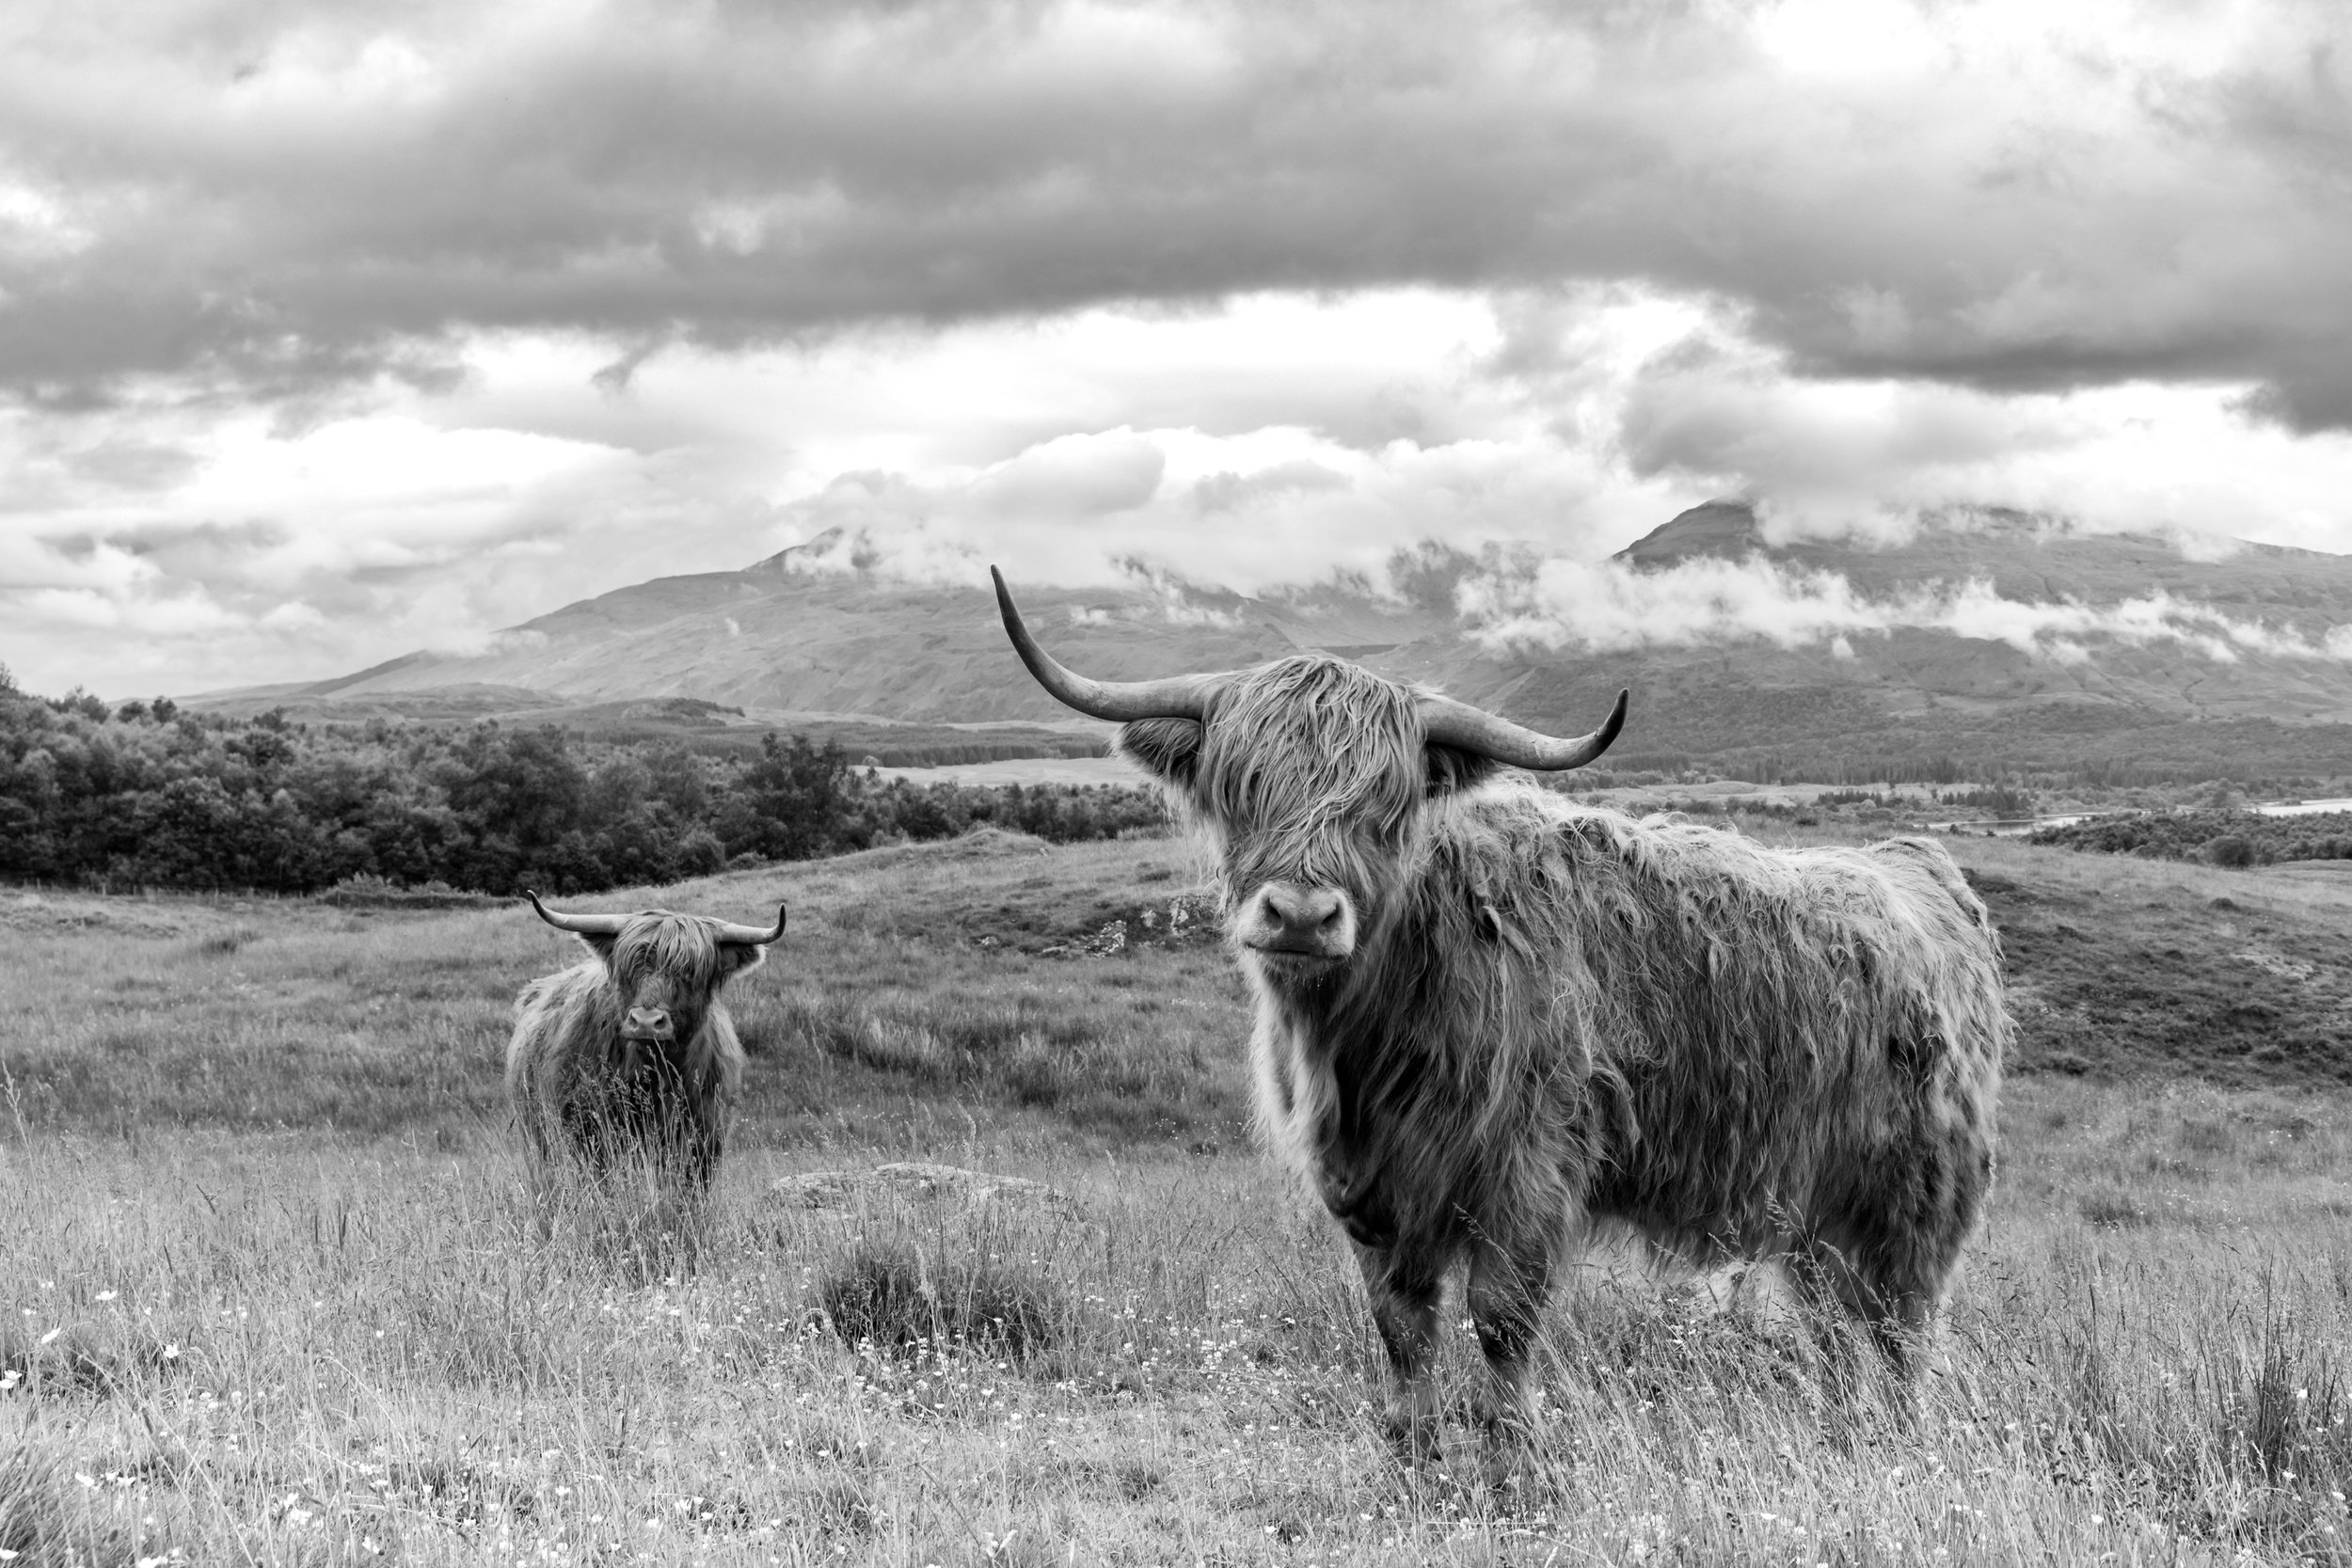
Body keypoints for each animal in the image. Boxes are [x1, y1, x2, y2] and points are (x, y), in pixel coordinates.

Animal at [507, 891, 786, 1195]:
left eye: (691, 972)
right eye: (627, 969)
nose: (646, 1022)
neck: (656, 1076)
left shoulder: (704, 1138)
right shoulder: (588, 1134)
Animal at [992, 568, 2008, 1467]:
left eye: (1390, 801)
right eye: (1240, 784)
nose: (1302, 915)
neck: (1370, 1035)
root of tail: (1916, 861)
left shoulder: (1530, 1164)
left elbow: (1502, 1316)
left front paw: (1512, 1456)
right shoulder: (1373, 1184)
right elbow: (1400, 1321)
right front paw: (1409, 1448)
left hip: (1917, 1195)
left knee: (1900, 1328)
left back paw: (1898, 1444)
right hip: (1820, 1211)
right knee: (1835, 1328)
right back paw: (1841, 1433)